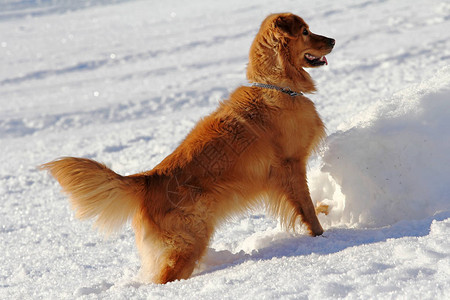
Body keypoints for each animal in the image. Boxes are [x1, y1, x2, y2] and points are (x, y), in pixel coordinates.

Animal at [41, 12, 334, 284]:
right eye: (306, 32)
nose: (332, 40)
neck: (277, 86)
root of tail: (148, 180)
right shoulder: (291, 165)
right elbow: (306, 206)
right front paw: (323, 235)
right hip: (189, 242)